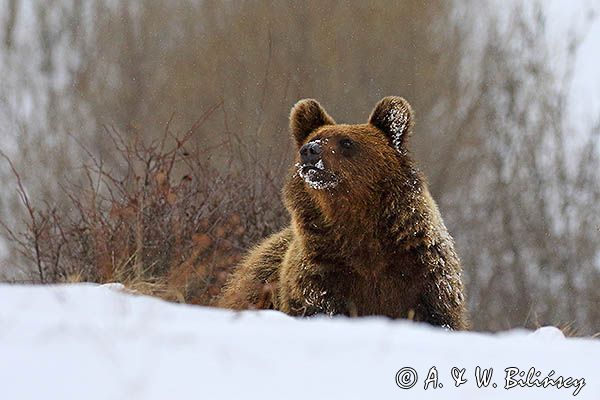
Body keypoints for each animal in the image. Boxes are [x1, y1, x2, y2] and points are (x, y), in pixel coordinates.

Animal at [217, 96, 468, 328]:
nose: (309, 151)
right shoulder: (320, 277)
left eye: (347, 142)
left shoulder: (423, 275)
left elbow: (437, 316)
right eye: (312, 138)